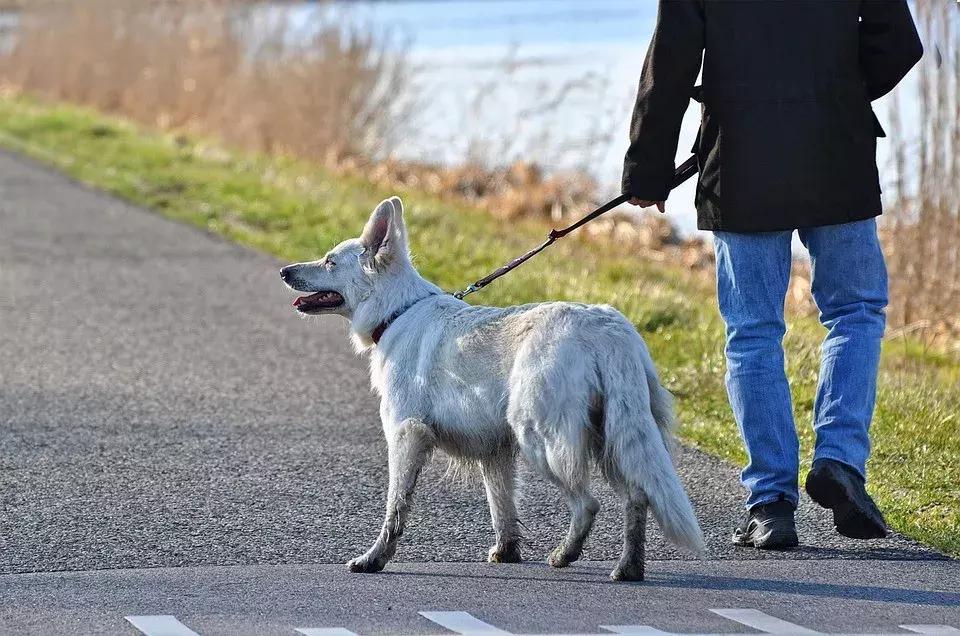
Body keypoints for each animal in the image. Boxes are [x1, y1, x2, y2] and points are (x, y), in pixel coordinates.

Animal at [278, 199, 704, 580]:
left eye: (330, 261)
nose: (284, 271)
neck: (397, 311)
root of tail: (608, 329)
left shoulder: (406, 436)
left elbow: (395, 509)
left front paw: (374, 559)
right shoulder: (495, 451)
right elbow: (502, 508)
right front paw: (507, 552)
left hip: (542, 440)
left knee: (589, 504)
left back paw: (565, 555)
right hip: (613, 438)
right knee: (637, 497)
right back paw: (628, 568)